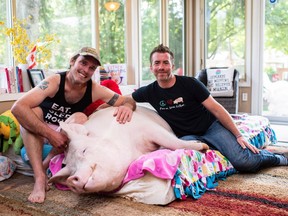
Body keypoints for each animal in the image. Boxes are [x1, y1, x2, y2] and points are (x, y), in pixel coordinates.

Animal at [48, 106, 208, 194]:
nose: (72, 179)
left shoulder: (149, 128)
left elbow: (172, 141)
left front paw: (203, 146)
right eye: (71, 170)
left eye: (84, 150)